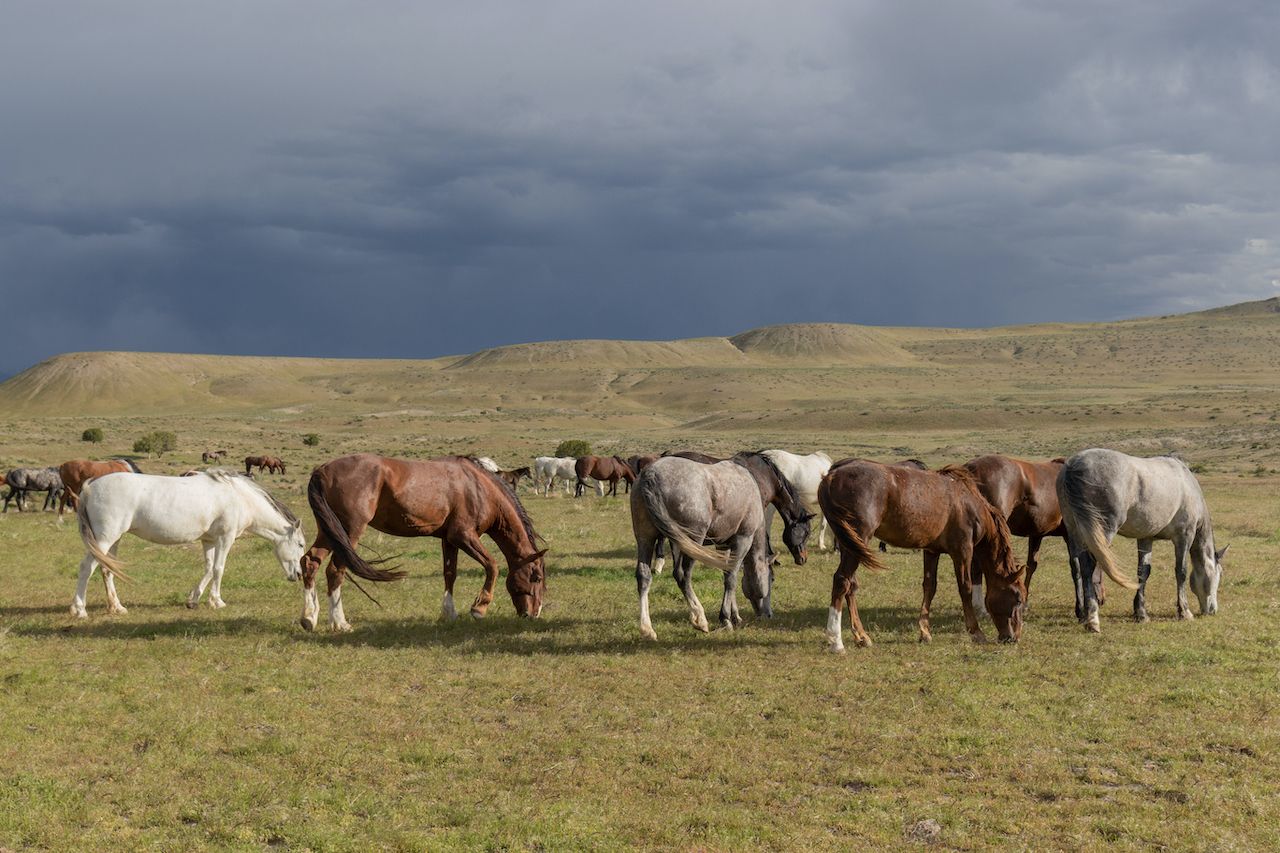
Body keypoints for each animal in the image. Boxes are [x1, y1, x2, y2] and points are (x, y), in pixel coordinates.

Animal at [71, 470, 306, 618]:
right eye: (301, 545)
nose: (298, 574)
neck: (241, 498)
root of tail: (89, 487)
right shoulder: (225, 538)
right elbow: (219, 569)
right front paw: (216, 601)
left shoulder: (209, 541)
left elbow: (209, 569)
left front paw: (193, 600)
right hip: (104, 539)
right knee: (86, 568)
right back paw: (79, 609)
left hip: (113, 540)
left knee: (106, 570)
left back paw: (117, 607)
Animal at [301, 454, 548, 632]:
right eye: (536, 577)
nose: (534, 614)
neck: (479, 488)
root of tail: (323, 470)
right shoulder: (463, 536)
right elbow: (492, 566)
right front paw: (479, 608)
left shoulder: (449, 540)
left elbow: (450, 574)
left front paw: (449, 613)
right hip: (349, 532)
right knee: (335, 571)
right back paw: (339, 622)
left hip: (329, 532)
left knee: (310, 562)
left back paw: (309, 618)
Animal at [630, 456, 772, 640]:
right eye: (770, 579)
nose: (767, 615)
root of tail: (651, 473)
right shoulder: (743, 540)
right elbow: (731, 578)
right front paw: (726, 619)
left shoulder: (722, 545)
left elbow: (726, 575)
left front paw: (735, 616)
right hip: (693, 539)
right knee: (684, 575)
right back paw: (699, 618)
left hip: (647, 539)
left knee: (645, 576)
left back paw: (647, 628)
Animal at [818, 459, 1027, 650]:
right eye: (1018, 598)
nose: (1014, 638)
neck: (969, 505)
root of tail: (831, 476)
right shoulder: (962, 552)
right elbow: (965, 589)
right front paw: (976, 632)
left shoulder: (931, 551)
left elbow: (929, 587)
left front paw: (925, 632)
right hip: (858, 540)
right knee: (842, 581)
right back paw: (836, 641)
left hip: (850, 545)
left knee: (851, 586)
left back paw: (861, 636)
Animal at [1056, 448, 1224, 633]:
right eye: (1219, 574)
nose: (1212, 610)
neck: (1188, 485)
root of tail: (1074, 465)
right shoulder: (1183, 537)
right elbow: (1181, 572)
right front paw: (1184, 611)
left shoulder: (1145, 538)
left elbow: (1143, 572)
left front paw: (1141, 613)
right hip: (1100, 532)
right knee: (1088, 566)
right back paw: (1092, 619)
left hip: (1074, 532)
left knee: (1077, 567)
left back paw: (1082, 613)